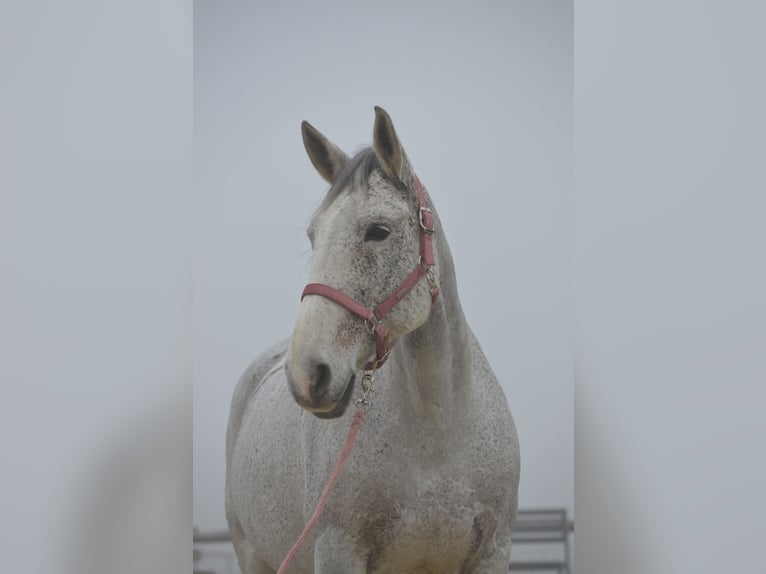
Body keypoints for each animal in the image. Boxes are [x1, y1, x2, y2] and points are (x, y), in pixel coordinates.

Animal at [224, 106, 520, 572]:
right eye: (313, 236)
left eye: (378, 231)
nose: (307, 374)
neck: (437, 442)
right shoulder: (337, 549)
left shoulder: (493, 552)